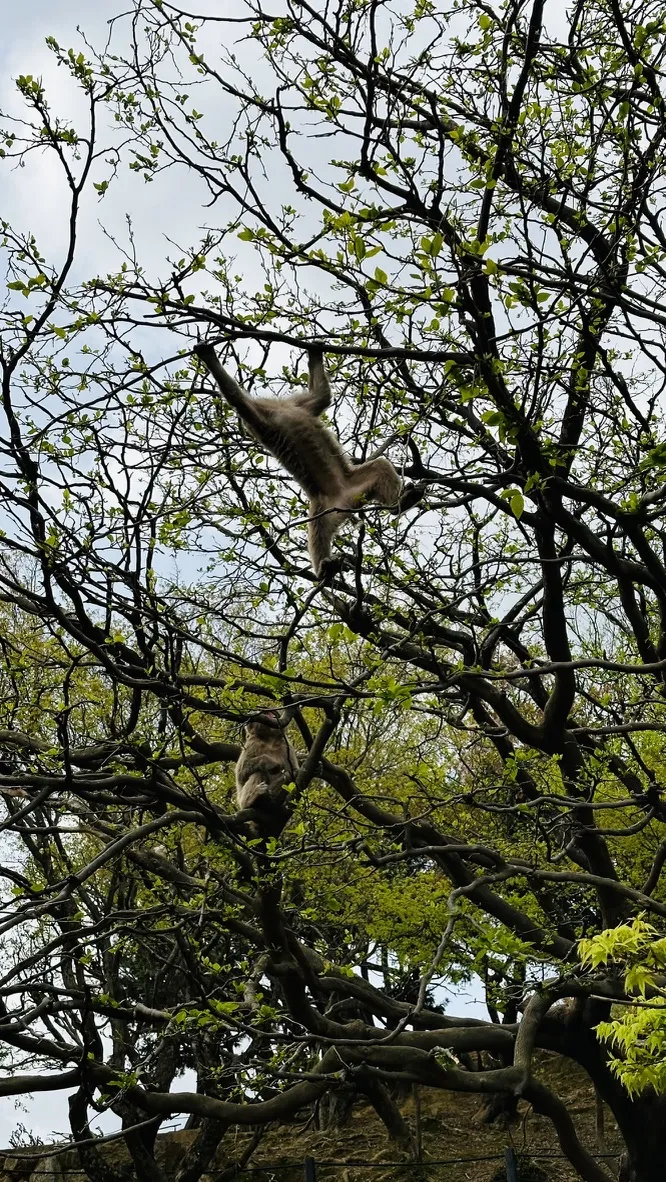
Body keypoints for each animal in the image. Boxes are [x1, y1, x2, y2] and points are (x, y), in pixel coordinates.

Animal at [193, 342, 424, 578]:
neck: (278, 407)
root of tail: (347, 500)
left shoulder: (297, 405)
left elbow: (321, 395)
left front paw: (315, 353)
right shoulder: (261, 419)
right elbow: (236, 398)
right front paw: (210, 359)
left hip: (358, 486)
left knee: (380, 466)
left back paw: (400, 502)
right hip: (326, 506)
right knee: (318, 526)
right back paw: (325, 569)